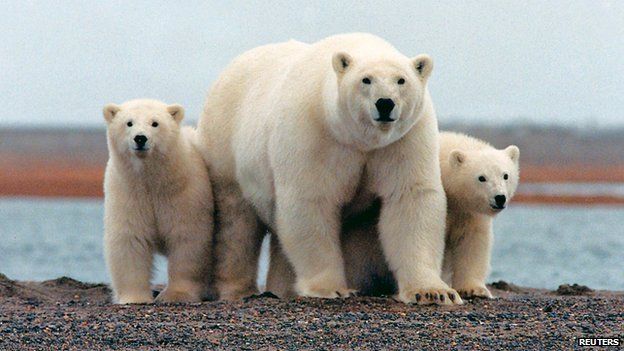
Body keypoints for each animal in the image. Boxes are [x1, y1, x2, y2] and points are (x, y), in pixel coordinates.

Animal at [200, 33, 464, 306]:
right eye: (366, 79)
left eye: (401, 80)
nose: (384, 103)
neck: (359, 139)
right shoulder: (314, 133)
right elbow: (311, 200)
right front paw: (331, 288)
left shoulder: (403, 140)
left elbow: (410, 198)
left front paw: (433, 292)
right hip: (226, 147)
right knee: (236, 224)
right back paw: (238, 289)